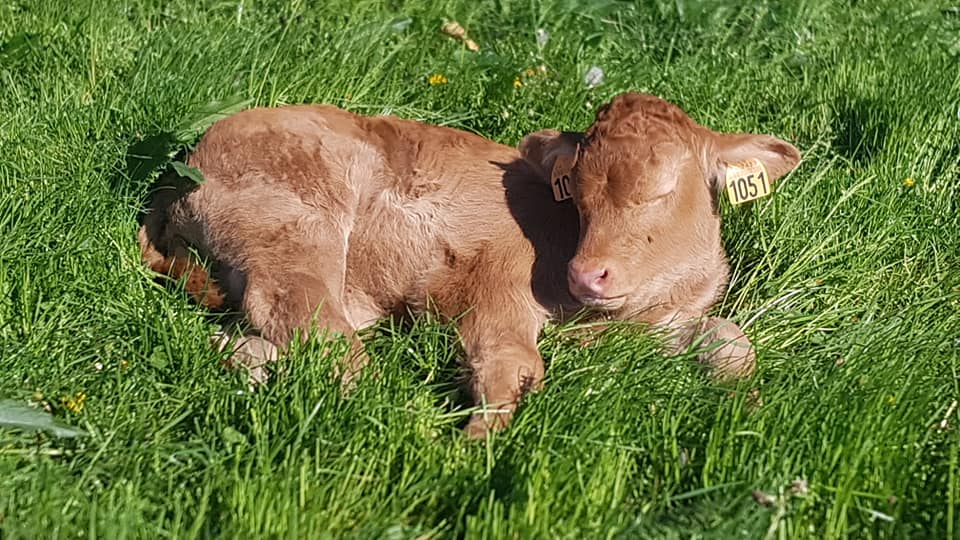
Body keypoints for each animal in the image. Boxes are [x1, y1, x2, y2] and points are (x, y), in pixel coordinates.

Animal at [139, 93, 800, 436]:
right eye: (576, 193)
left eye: (663, 189)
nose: (587, 275)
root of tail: (185, 165)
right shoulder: (494, 284)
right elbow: (510, 363)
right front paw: (477, 443)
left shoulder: (667, 324)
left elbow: (731, 340)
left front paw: (752, 412)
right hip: (298, 225)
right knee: (315, 327)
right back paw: (395, 413)